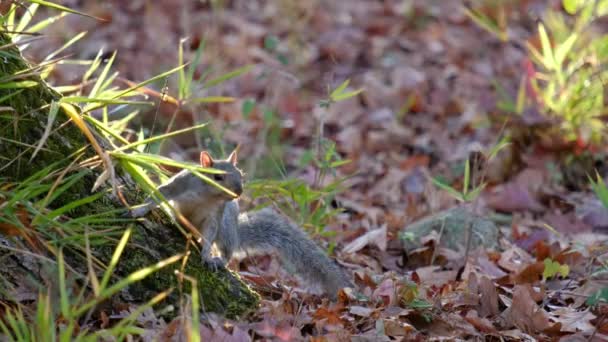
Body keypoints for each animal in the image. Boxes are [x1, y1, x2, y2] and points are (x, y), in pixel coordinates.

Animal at [131, 150, 354, 300]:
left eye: (240, 174)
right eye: (217, 176)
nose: (238, 192)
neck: (206, 195)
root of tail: (237, 233)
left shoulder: (216, 216)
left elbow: (210, 234)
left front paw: (206, 255)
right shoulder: (179, 184)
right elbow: (159, 192)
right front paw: (139, 210)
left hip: (227, 227)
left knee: (227, 249)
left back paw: (218, 258)